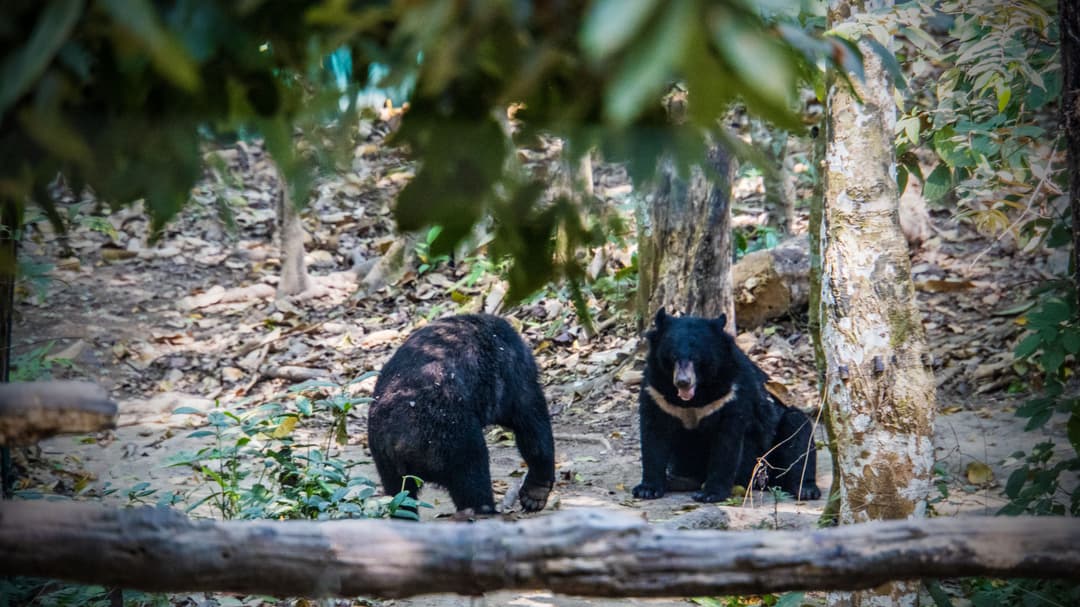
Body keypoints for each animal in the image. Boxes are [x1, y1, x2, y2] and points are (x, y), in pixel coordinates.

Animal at [367, 313, 555, 516]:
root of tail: (401, 441)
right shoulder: (514, 371)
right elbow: (531, 423)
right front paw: (535, 493)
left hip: (387, 462)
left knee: (401, 499)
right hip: (453, 444)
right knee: (473, 481)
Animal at [632, 308, 821, 503]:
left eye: (697, 358)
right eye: (672, 356)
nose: (683, 382)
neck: (696, 397)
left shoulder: (730, 394)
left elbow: (727, 443)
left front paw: (710, 494)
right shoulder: (657, 393)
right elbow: (654, 437)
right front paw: (646, 489)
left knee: (798, 432)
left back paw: (805, 489)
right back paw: (679, 480)